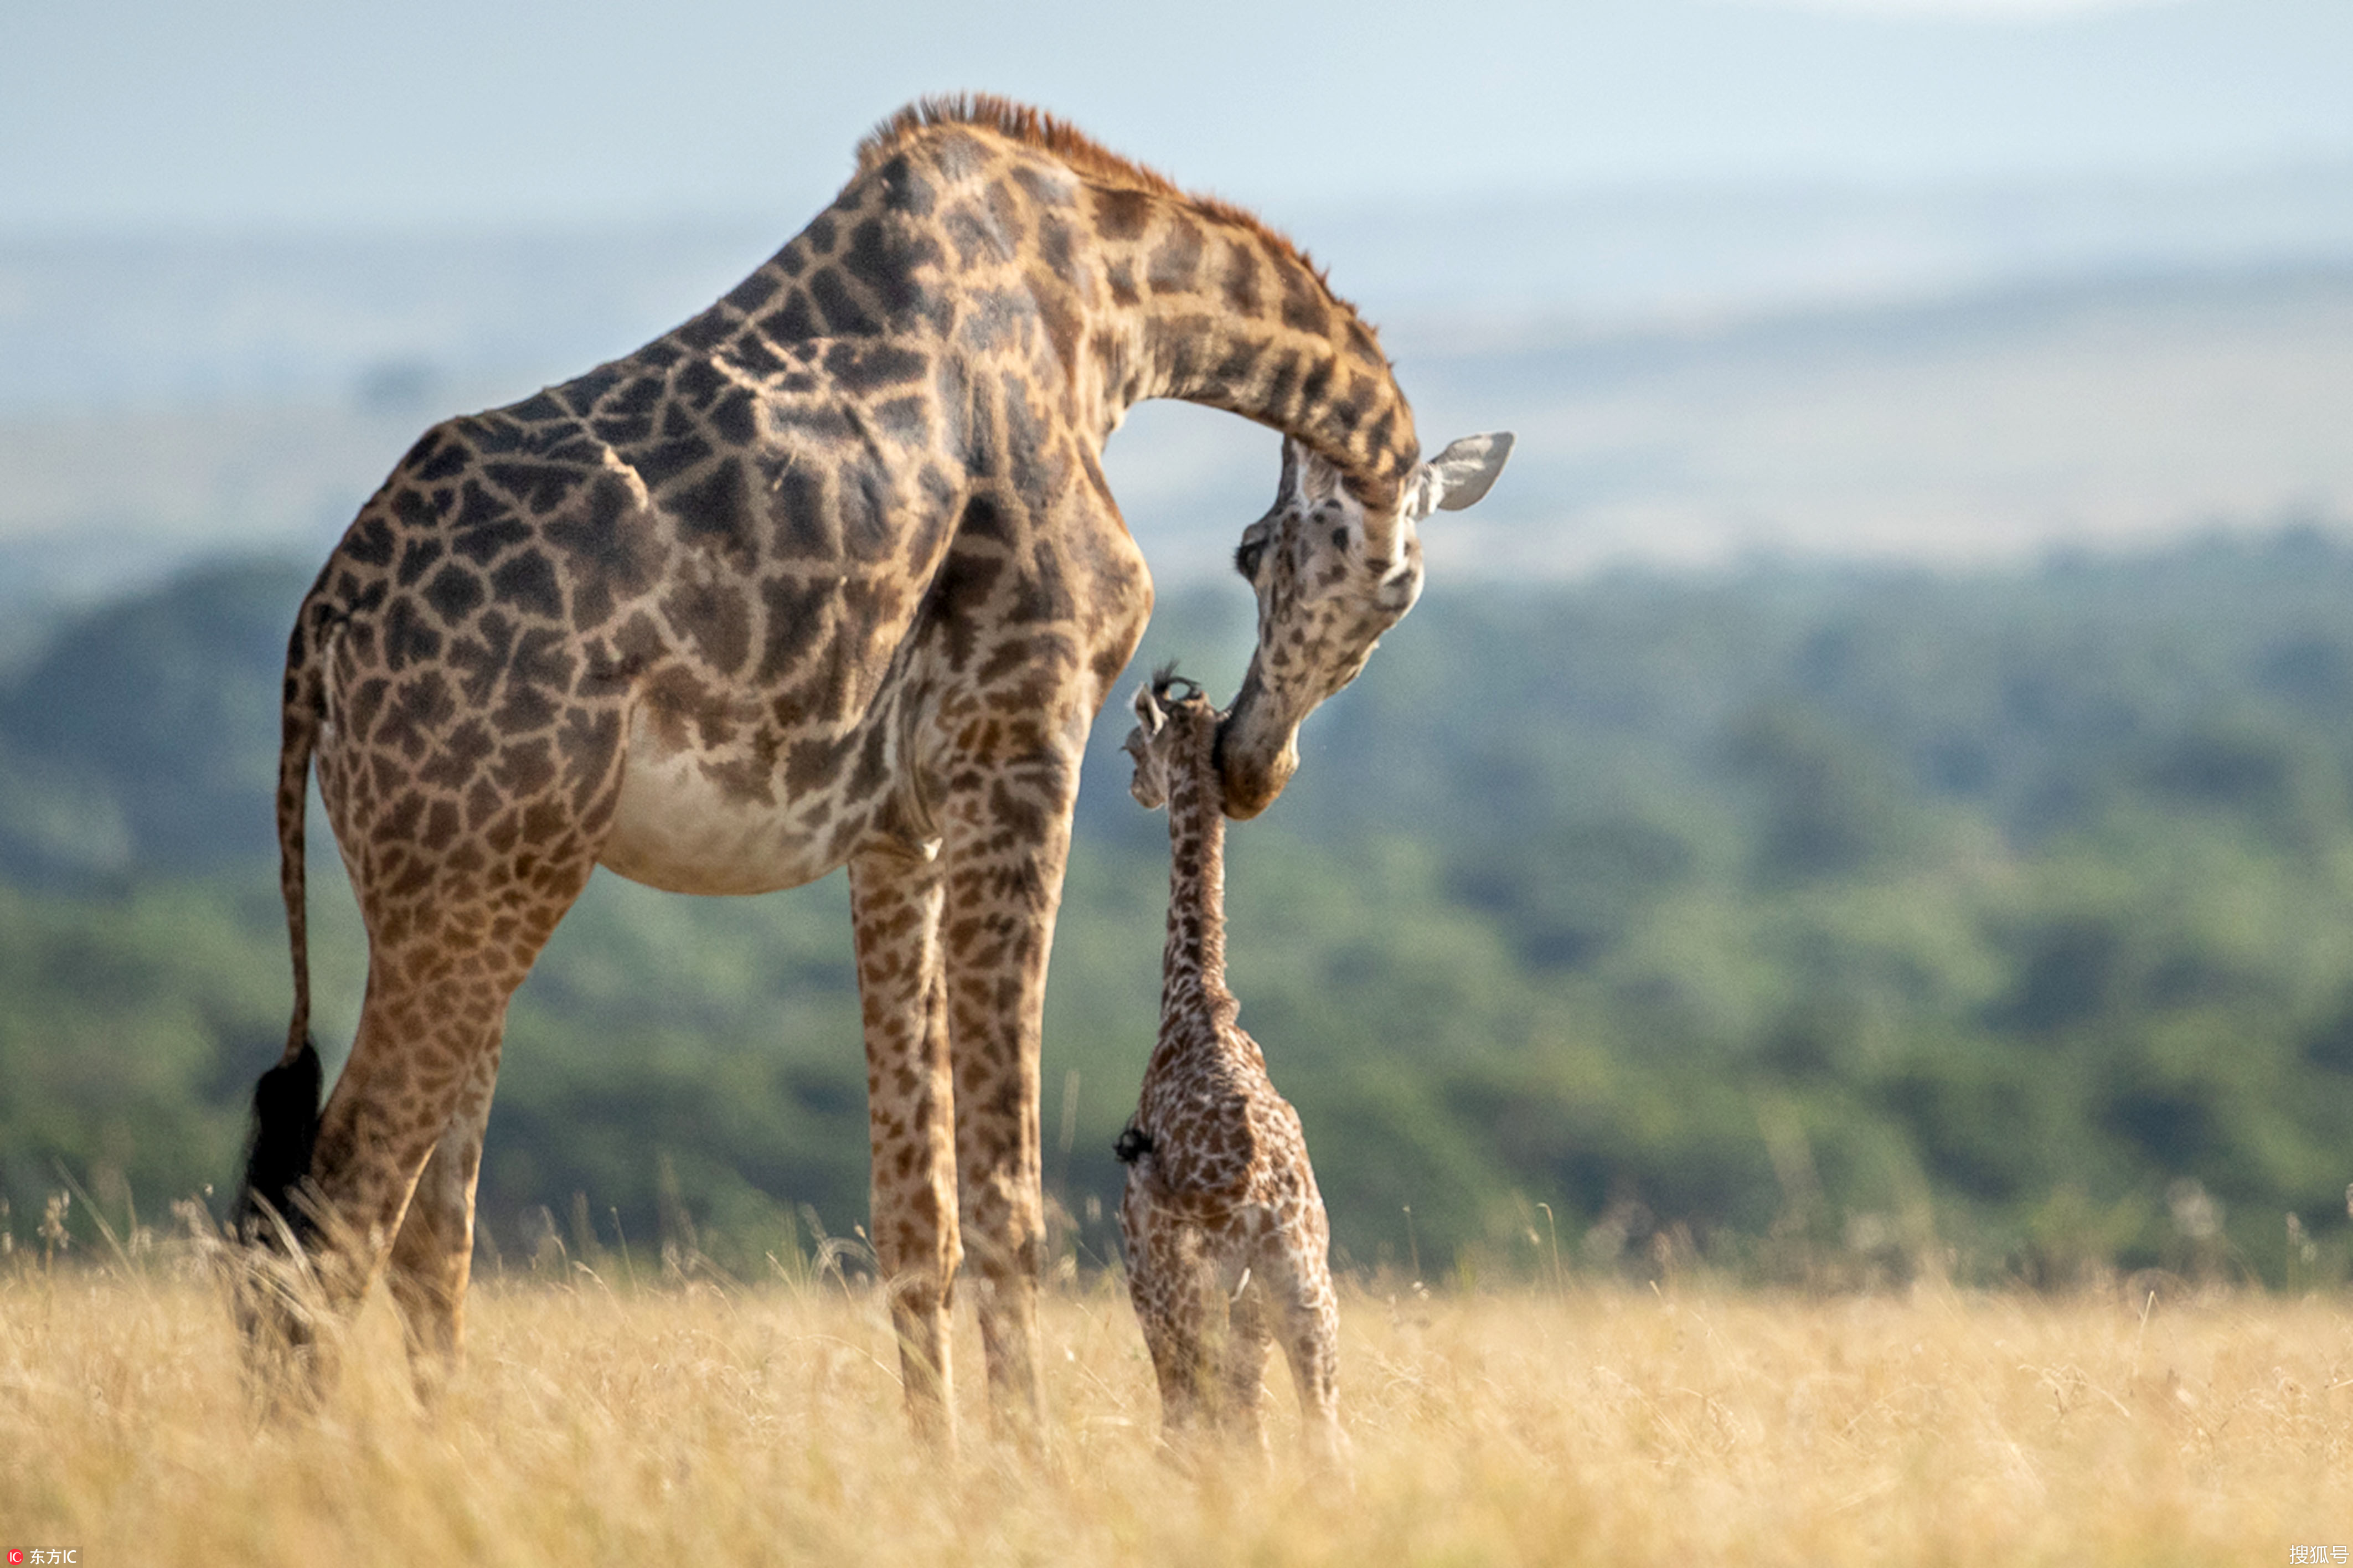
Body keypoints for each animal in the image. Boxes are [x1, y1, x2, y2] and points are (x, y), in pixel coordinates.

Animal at [1115, 664, 1346, 1459]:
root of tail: (1253, 1205)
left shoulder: (1144, 1276)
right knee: (1321, 1437)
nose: (1135, 788)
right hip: (1304, 1294)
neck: (1197, 999)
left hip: (1195, 1294)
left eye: (1130, 747)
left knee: (1194, 1424)